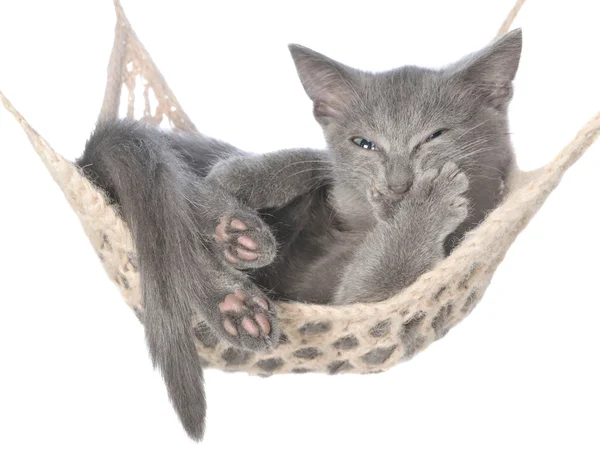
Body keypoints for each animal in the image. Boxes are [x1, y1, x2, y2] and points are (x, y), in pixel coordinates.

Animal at [78, 28, 520, 440]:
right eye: (364, 143)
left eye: (434, 136)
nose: (399, 184)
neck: (362, 222)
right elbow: (315, 160)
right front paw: (245, 176)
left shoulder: (372, 310)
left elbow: (376, 276)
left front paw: (430, 199)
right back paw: (229, 232)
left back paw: (233, 299)